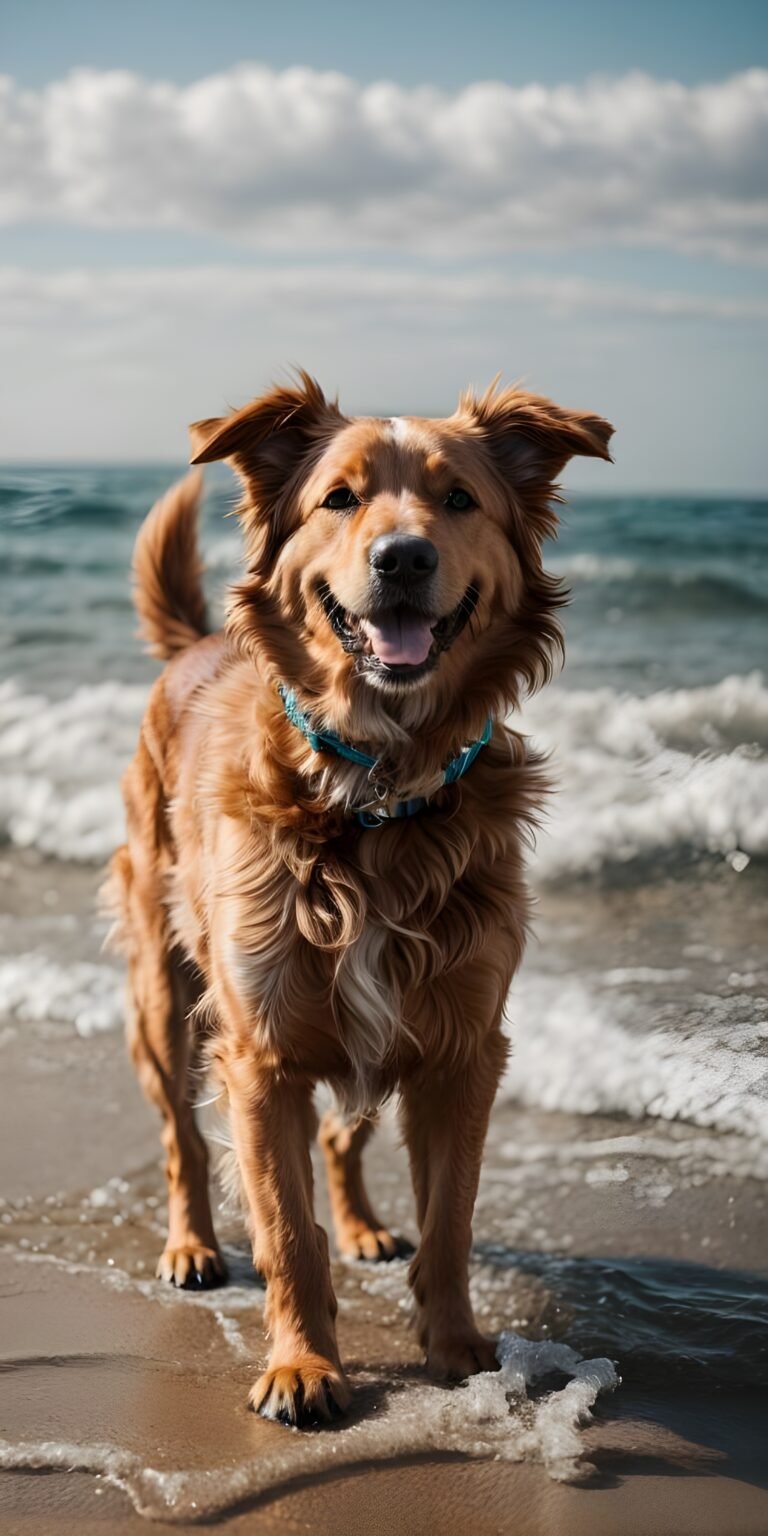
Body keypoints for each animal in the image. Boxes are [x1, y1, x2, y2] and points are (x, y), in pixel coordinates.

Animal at [106, 374, 611, 1425]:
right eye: (338, 499)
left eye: (458, 499)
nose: (404, 556)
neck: (377, 791)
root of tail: (195, 647)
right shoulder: (260, 1053)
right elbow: (285, 1230)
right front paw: (303, 1366)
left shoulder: (461, 1041)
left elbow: (451, 1218)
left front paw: (458, 1347)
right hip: (165, 992)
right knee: (182, 1140)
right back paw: (192, 1245)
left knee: (346, 1134)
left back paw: (368, 1228)